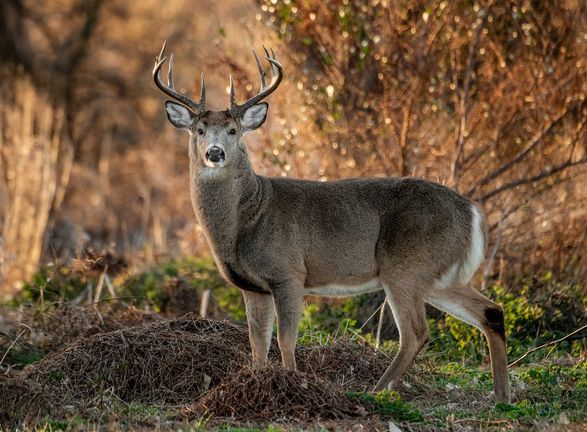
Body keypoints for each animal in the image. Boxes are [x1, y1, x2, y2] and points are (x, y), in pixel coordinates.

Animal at [154, 42, 512, 404]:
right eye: (199, 130)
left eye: (233, 131)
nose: (215, 153)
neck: (248, 218)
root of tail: (471, 210)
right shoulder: (252, 286)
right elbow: (257, 343)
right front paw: (256, 383)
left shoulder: (289, 272)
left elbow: (285, 339)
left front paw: (292, 383)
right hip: (439, 274)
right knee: (491, 312)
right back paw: (502, 397)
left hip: (406, 265)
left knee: (416, 332)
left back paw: (376, 391)